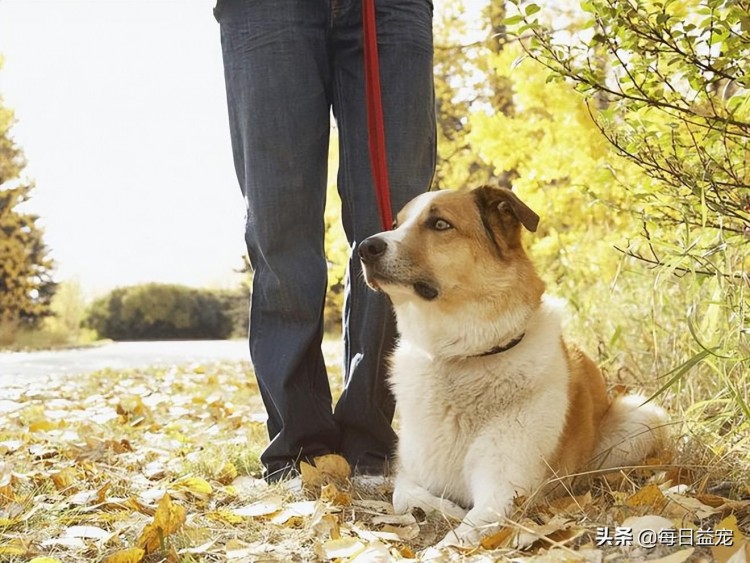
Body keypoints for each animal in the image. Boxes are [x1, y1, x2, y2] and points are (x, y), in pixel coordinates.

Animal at [358, 185, 668, 548]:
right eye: (396, 224)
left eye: (439, 224)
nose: (365, 247)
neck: (462, 360)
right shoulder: (412, 472)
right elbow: (402, 495)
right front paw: (445, 509)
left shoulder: (504, 492)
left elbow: (457, 539)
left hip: (643, 417)